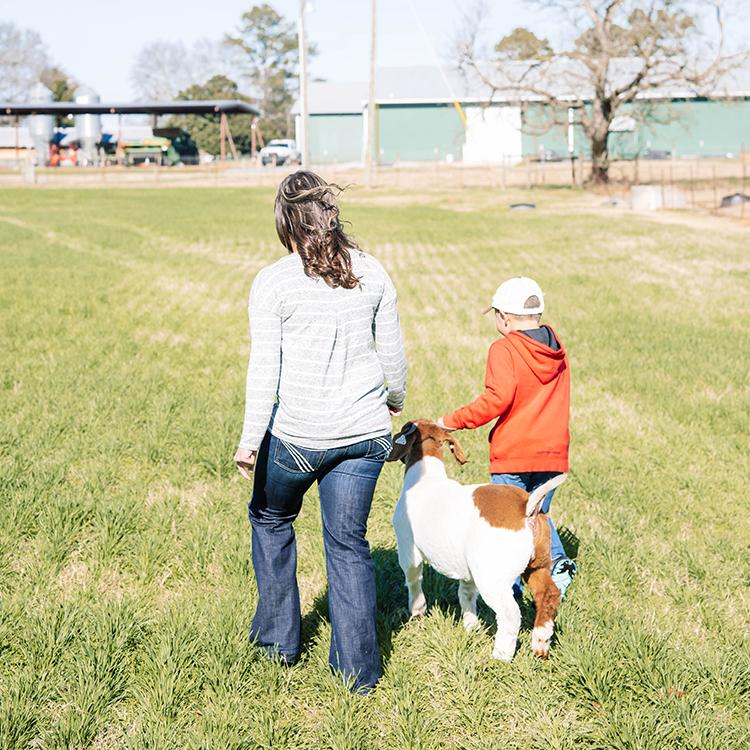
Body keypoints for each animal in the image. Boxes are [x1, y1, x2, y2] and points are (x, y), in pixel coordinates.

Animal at [390, 424, 568, 664]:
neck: (427, 478)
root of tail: (526, 506)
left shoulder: (410, 554)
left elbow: (414, 584)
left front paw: (417, 614)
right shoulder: (468, 570)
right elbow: (466, 595)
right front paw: (471, 628)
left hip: (492, 578)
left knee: (510, 614)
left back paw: (500, 657)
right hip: (537, 566)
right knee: (549, 595)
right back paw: (540, 643)